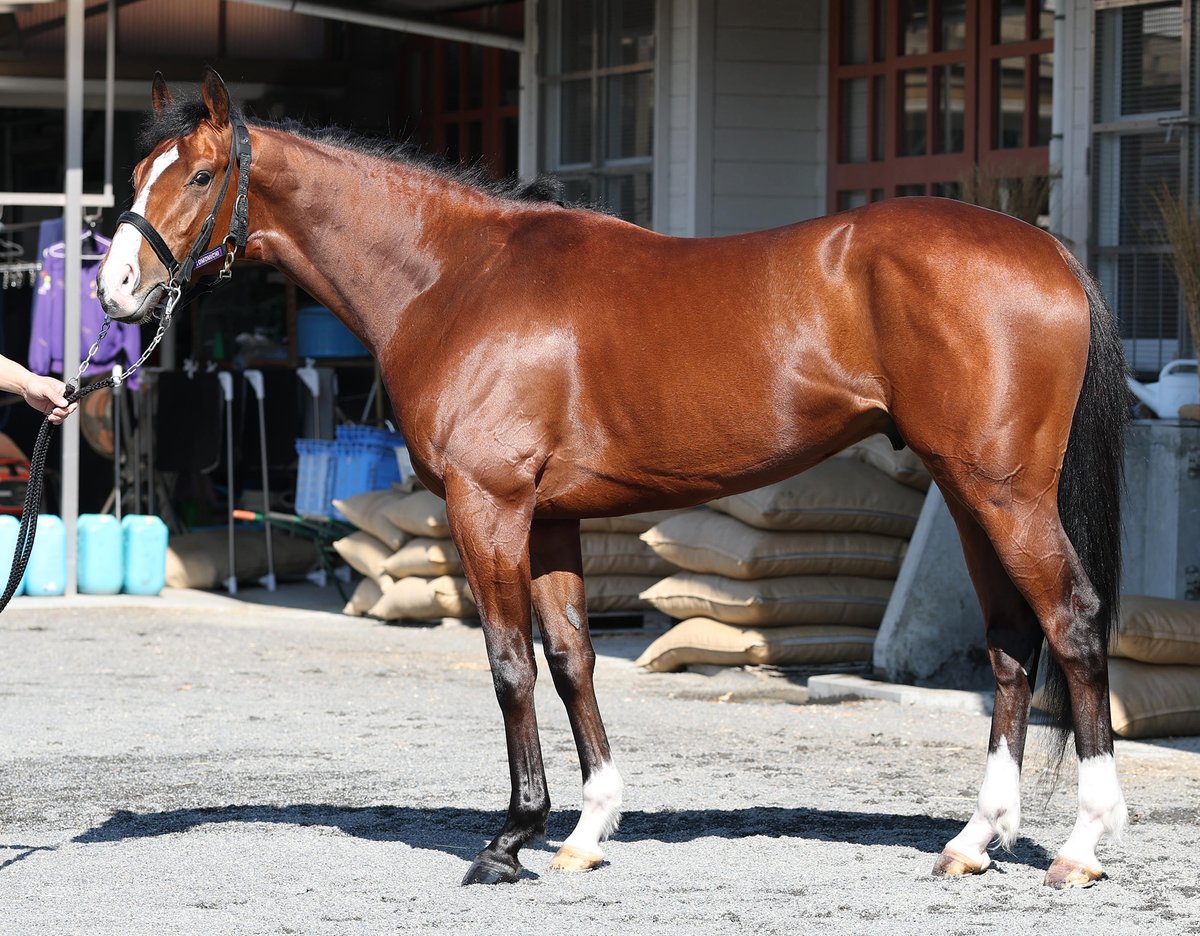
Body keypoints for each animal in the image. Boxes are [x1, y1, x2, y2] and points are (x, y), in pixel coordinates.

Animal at [96, 69, 1129, 889]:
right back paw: (973, 841)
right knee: (1010, 643)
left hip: (1004, 493)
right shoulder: (550, 519)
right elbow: (572, 660)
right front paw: (586, 830)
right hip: (967, 493)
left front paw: (509, 839)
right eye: (137, 177)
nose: (113, 294)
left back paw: (1082, 846)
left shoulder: (489, 508)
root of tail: (1050, 251)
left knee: (1072, 623)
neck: (455, 278)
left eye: (198, 175)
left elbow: (509, 664)